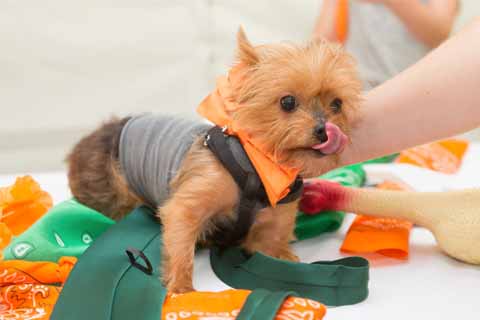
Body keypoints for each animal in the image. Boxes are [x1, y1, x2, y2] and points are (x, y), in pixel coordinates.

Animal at [67, 28, 360, 294]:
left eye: (337, 104)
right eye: (287, 102)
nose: (325, 130)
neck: (257, 166)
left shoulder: (273, 225)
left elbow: (273, 248)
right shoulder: (189, 203)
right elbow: (180, 242)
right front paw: (181, 289)